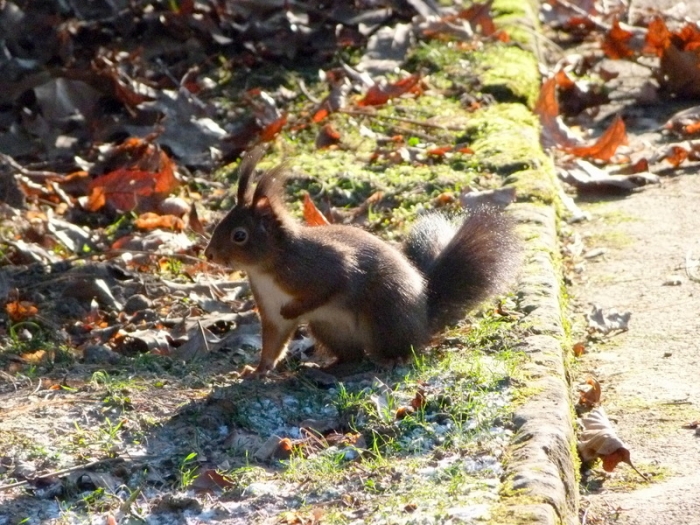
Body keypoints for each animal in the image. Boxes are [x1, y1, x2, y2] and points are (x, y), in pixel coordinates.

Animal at [205, 147, 519, 376]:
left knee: (401, 348)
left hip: (384, 316)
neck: (266, 268)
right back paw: (330, 366)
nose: (209, 255)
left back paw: (393, 359)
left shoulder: (323, 266)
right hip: (329, 328)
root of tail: (422, 322)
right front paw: (257, 370)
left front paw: (294, 308)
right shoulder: (268, 306)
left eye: (239, 235)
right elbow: (273, 341)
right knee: (353, 356)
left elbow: (331, 285)